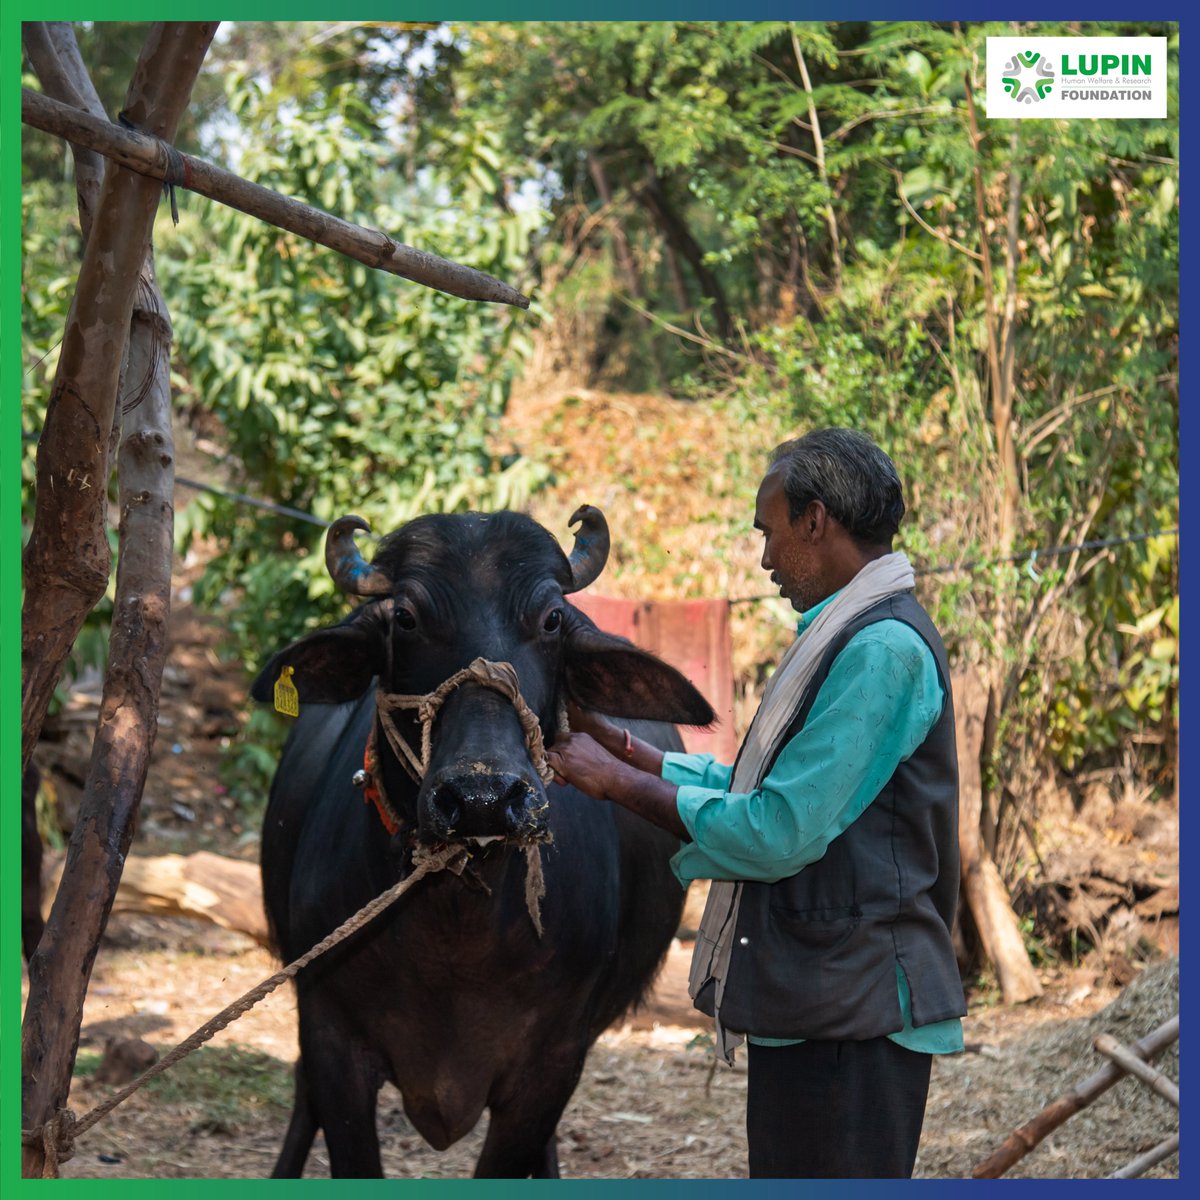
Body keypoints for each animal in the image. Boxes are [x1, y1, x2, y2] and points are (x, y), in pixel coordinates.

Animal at [250, 506, 713, 1177]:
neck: (457, 924)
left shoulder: (552, 1061)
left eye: (552, 619)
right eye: (406, 618)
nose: (483, 798)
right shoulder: (329, 1034)